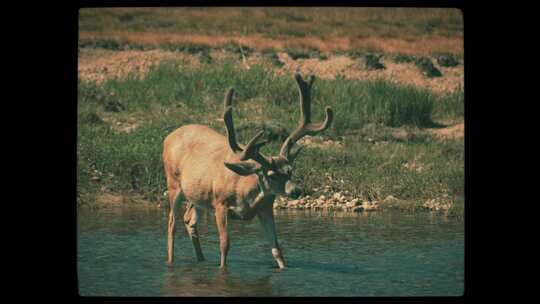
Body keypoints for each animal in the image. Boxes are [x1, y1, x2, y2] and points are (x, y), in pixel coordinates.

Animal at [162, 73, 334, 268]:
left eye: (290, 170)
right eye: (272, 175)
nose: (296, 190)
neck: (246, 192)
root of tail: (168, 137)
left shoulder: (266, 208)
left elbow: (276, 248)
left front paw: (284, 267)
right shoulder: (220, 203)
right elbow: (225, 244)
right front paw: (222, 269)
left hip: (197, 194)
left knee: (189, 219)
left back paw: (201, 259)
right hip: (173, 182)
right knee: (172, 223)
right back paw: (170, 261)